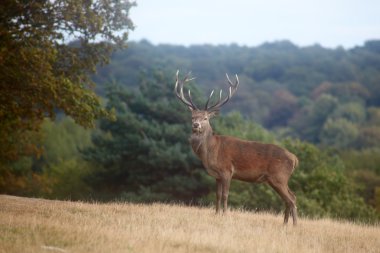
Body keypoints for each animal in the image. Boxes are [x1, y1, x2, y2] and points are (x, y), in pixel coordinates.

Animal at [174, 69, 298, 225]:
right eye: (192, 117)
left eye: (205, 118)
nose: (196, 125)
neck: (211, 151)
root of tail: (295, 159)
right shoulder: (217, 175)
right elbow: (217, 195)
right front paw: (216, 214)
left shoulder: (227, 170)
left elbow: (225, 195)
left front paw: (225, 215)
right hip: (278, 179)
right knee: (290, 197)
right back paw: (285, 223)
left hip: (279, 176)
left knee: (292, 199)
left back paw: (294, 225)